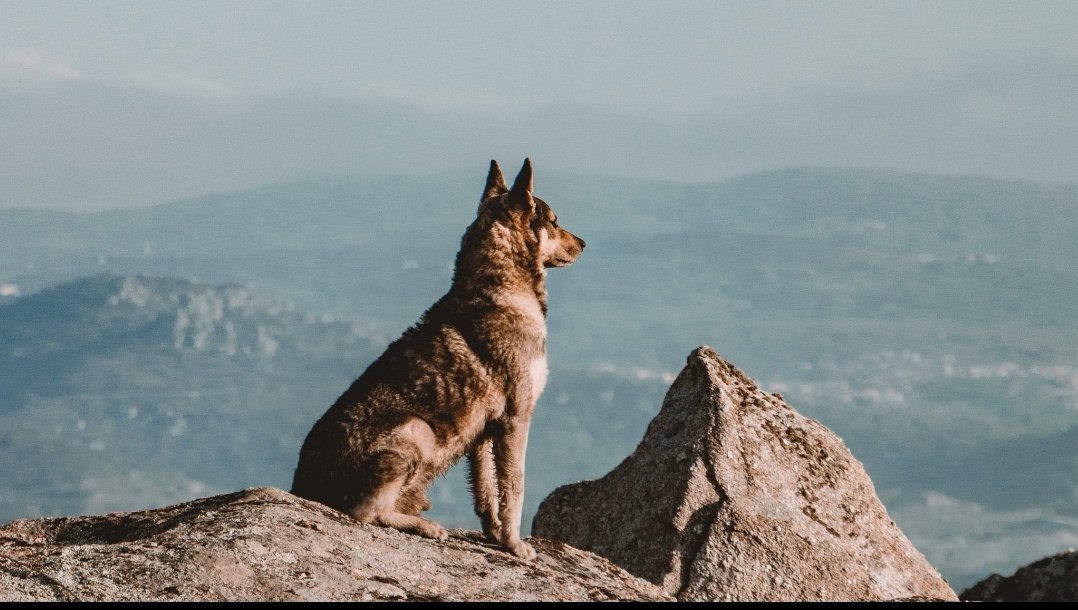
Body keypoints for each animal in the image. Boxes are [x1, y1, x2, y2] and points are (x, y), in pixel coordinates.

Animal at [291, 157, 586, 560]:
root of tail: (300, 487)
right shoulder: (516, 420)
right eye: (554, 221)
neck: (502, 288)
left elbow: (487, 493)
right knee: (365, 511)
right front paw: (514, 544)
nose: (584, 243)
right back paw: (423, 525)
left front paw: (495, 537)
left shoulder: (483, 435)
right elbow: (515, 489)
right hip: (417, 430)